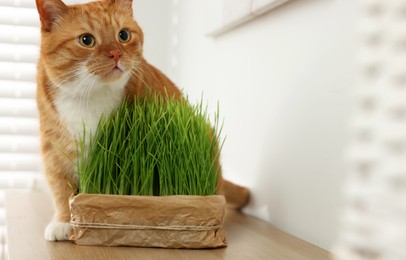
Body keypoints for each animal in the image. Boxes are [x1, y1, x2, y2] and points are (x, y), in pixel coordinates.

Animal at [35, 0, 251, 242]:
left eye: (123, 35)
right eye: (86, 40)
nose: (116, 54)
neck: (90, 96)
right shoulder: (54, 152)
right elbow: (61, 191)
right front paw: (63, 221)